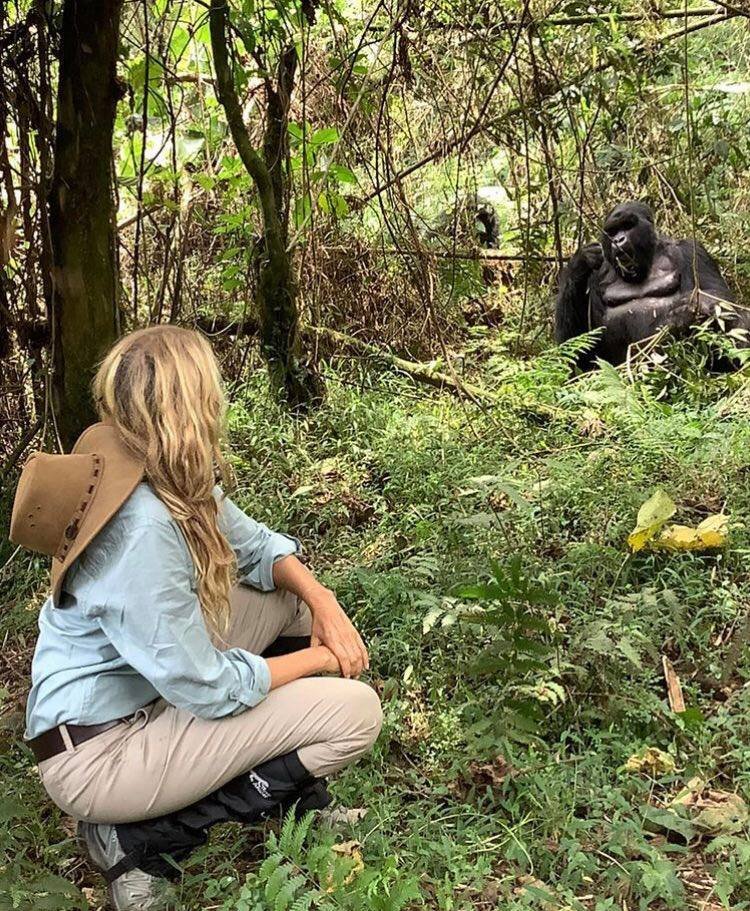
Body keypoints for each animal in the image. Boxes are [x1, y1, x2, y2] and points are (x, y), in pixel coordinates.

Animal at [556, 203, 748, 366]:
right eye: (612, 231)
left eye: (627, 226)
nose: (618, 240)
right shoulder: (596, 276)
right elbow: (578, 350)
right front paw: (580, 262)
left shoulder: (691, 250)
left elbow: (721, 299)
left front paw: (692, 308)